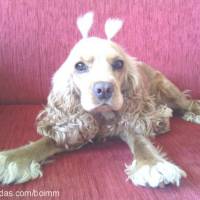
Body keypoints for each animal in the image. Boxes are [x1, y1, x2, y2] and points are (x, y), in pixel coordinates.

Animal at [0, 12, 200, 188]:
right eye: (80, 66)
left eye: (119, 63)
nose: (104, 89)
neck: (103, 117)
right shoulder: (73, 126)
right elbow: (46, 141)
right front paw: (12, 159)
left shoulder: (130, 120)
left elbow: (141, 141)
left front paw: (153, 165)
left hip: (167, 89)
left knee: (188, 104)